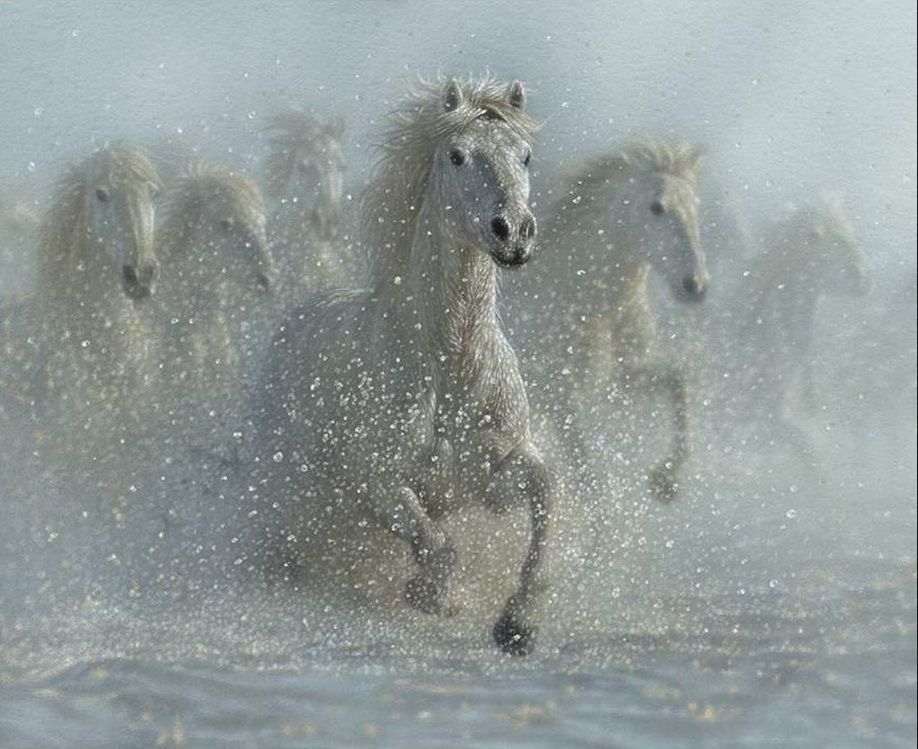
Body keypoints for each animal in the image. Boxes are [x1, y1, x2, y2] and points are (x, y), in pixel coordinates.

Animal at [512, 141, 708, 500]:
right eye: (657, 207)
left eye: (695, 208)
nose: (696, 285)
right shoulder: (557, 397)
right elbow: (587, 477)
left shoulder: (622, 379)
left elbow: (679, 381)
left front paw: (665, 479)